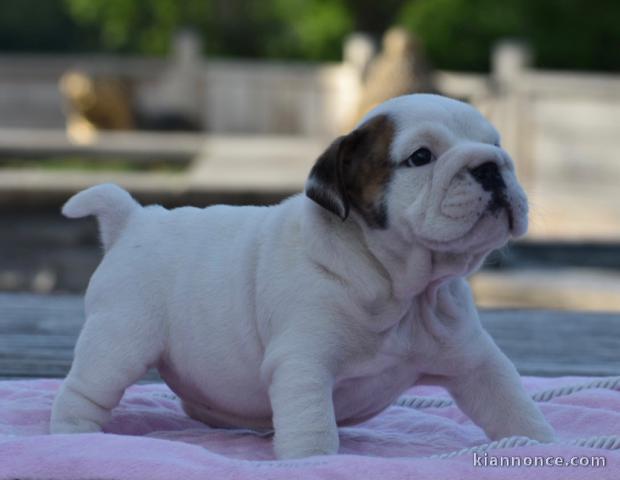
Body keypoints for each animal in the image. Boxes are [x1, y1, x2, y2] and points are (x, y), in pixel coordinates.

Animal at [50, 94, 556, 458]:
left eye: (497, 145)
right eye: (420, 157)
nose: (490, 164)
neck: (401, 285)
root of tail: (133, 219)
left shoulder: (476, 362)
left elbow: (513, 406)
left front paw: (547, 444)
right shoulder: (304, 365)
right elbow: (313, 428)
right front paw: (317, 462)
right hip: (120, 337)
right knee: (85, 390)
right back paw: (74, 433)